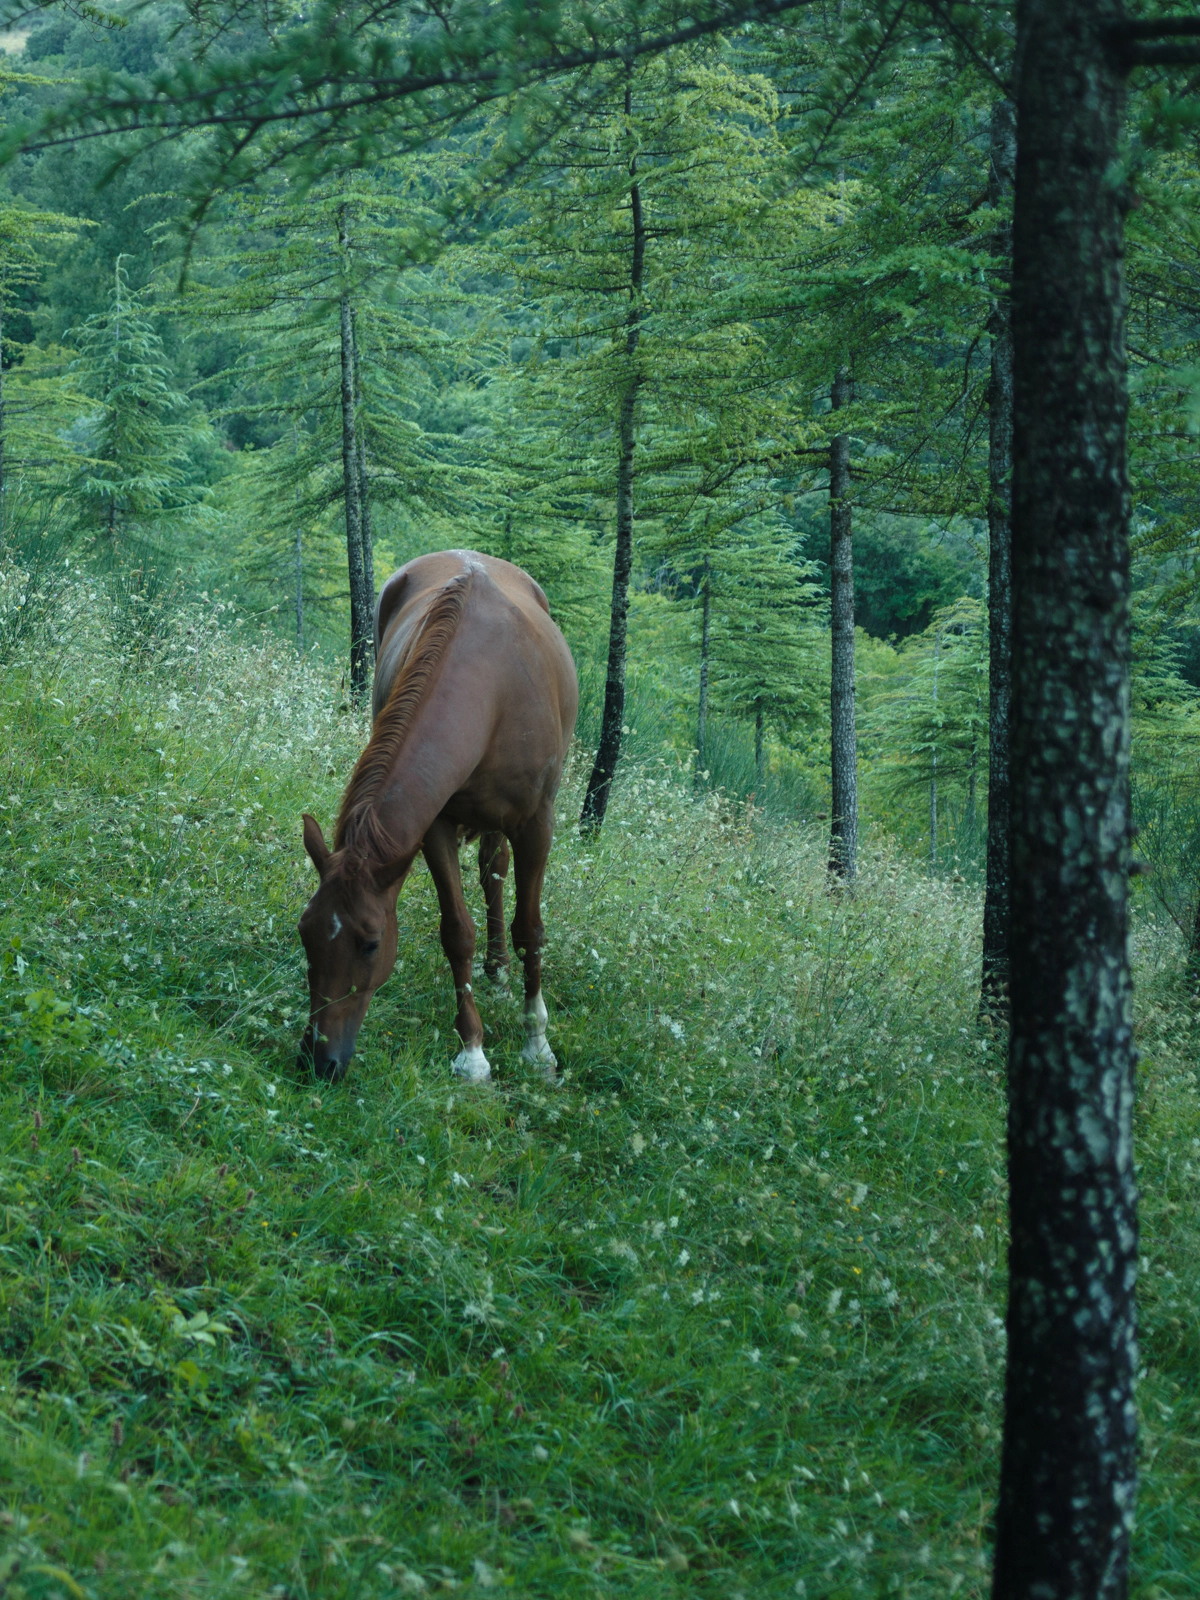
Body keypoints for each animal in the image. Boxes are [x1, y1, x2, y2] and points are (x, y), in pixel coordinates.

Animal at [296, 550, 579, 1084]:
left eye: (370, 943)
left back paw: (503, 973)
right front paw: (473, 1051)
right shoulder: (435, 826)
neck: (491, 689)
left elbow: (531, 929)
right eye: (305, 932)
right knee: (492, 871)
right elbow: (457, 934)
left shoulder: (538, 824)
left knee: (497, 872)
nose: (319, 1060)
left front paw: (537, 1043)